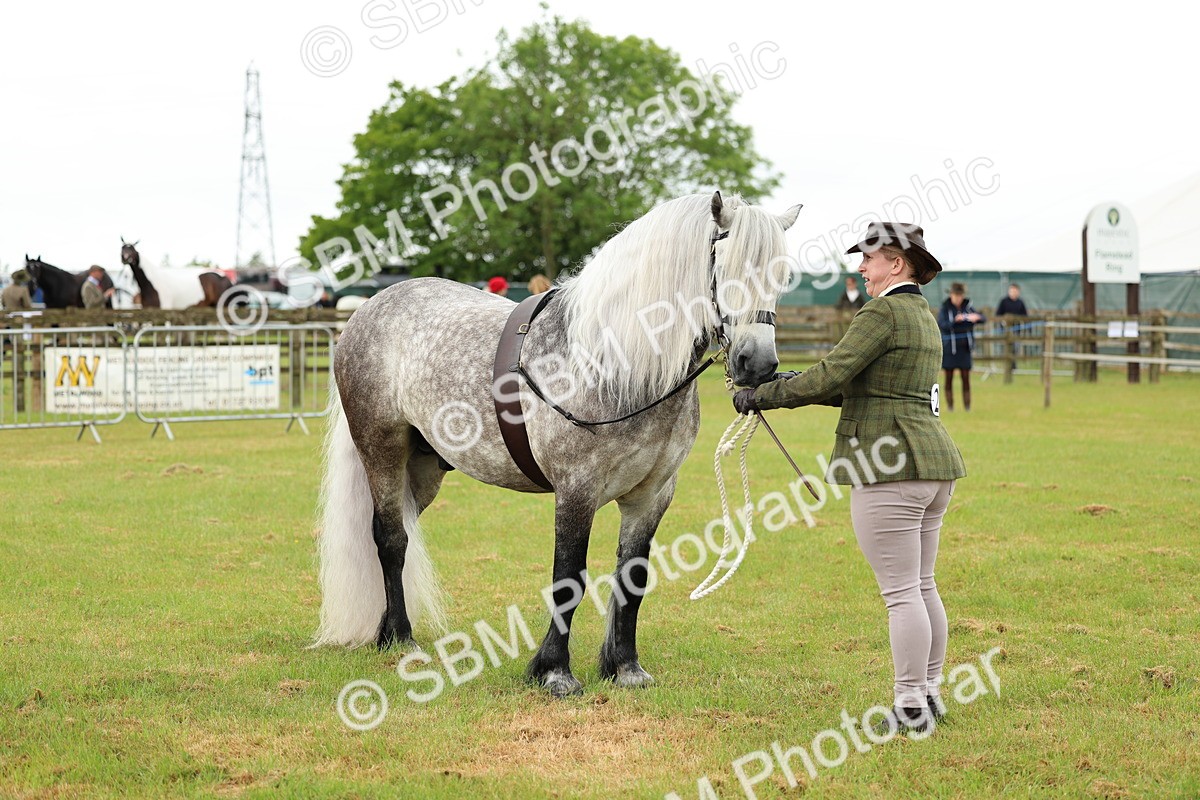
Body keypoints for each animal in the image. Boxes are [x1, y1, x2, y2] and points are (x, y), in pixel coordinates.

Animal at [313, 191, 801, 697]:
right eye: (727, 267)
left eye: (781, 277)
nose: (757, 364)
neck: (614, 361)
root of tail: (369, 309)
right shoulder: (576, 490)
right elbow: (568, 579)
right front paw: (554, 672)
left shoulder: (652, 495)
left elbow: (633, 578)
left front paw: (625, 667)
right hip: (382, 452)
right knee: (390, 539)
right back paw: (401, 638)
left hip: (424, 469)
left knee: (395, 535)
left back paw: (385, 631)